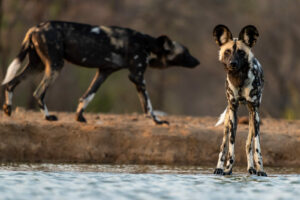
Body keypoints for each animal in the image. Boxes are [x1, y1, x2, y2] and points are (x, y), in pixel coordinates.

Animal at [2, 20, 199, 123]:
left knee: (10, 84)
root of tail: (36, 27)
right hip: (56, 66)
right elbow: (148, 105)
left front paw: (80, 117)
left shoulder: (104, 72)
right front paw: (157, 121)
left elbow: (88, 96)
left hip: (38, 66)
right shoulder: (137, 77)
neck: (148, 44)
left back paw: (8, 110)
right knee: (38, 92)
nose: (197, 61)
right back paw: (49, 117)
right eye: (186, 52)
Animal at [213, 25, 268, 177]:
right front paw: (228, 169)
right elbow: (231, 146)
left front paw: (261, 170)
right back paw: (219, 168)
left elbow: (257, 146)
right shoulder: (233, 110)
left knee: (249, 143)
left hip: (252, 118)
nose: (233, 63)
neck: (239, 78)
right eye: (227, 52)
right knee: (223, 146)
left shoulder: (254, 111)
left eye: (241, 52)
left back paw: (252, 168)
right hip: (228, 121)